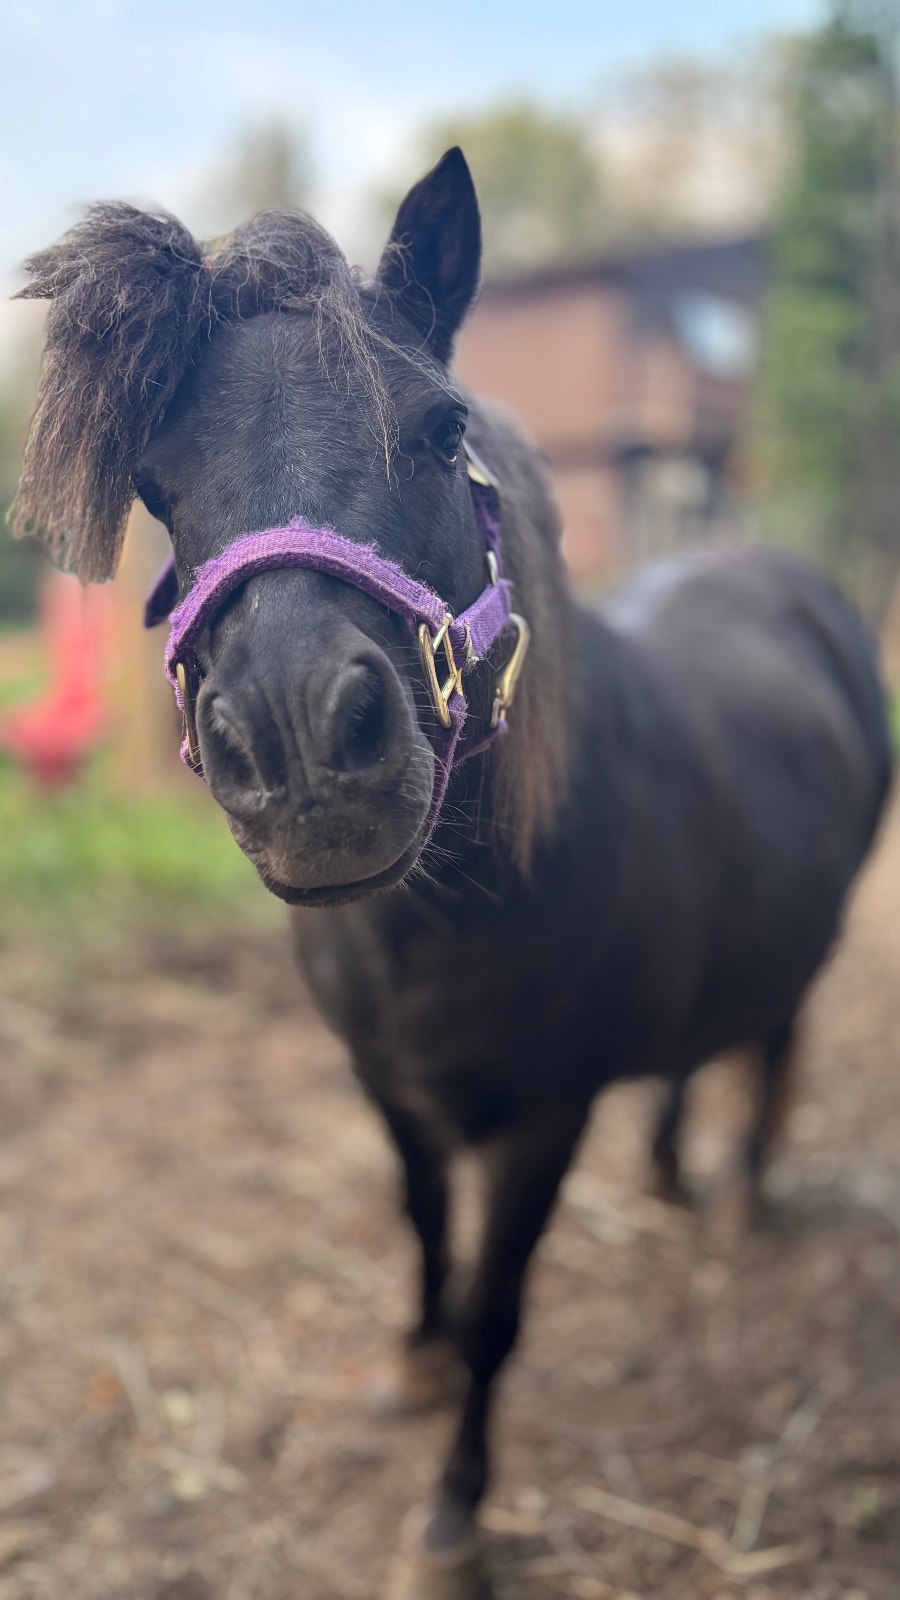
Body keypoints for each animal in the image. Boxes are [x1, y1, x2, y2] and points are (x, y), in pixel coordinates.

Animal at [12, 149, 893, 1599]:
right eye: (156, 483)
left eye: (436, 431)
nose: (303, 746)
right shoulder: (390, 1089)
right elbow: (423, 1229)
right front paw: (411, 1372)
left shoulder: (542, 1122)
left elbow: (497, 1310)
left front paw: (454, 1518)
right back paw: (676, 1173)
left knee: (776, 1036)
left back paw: (748, 1194)